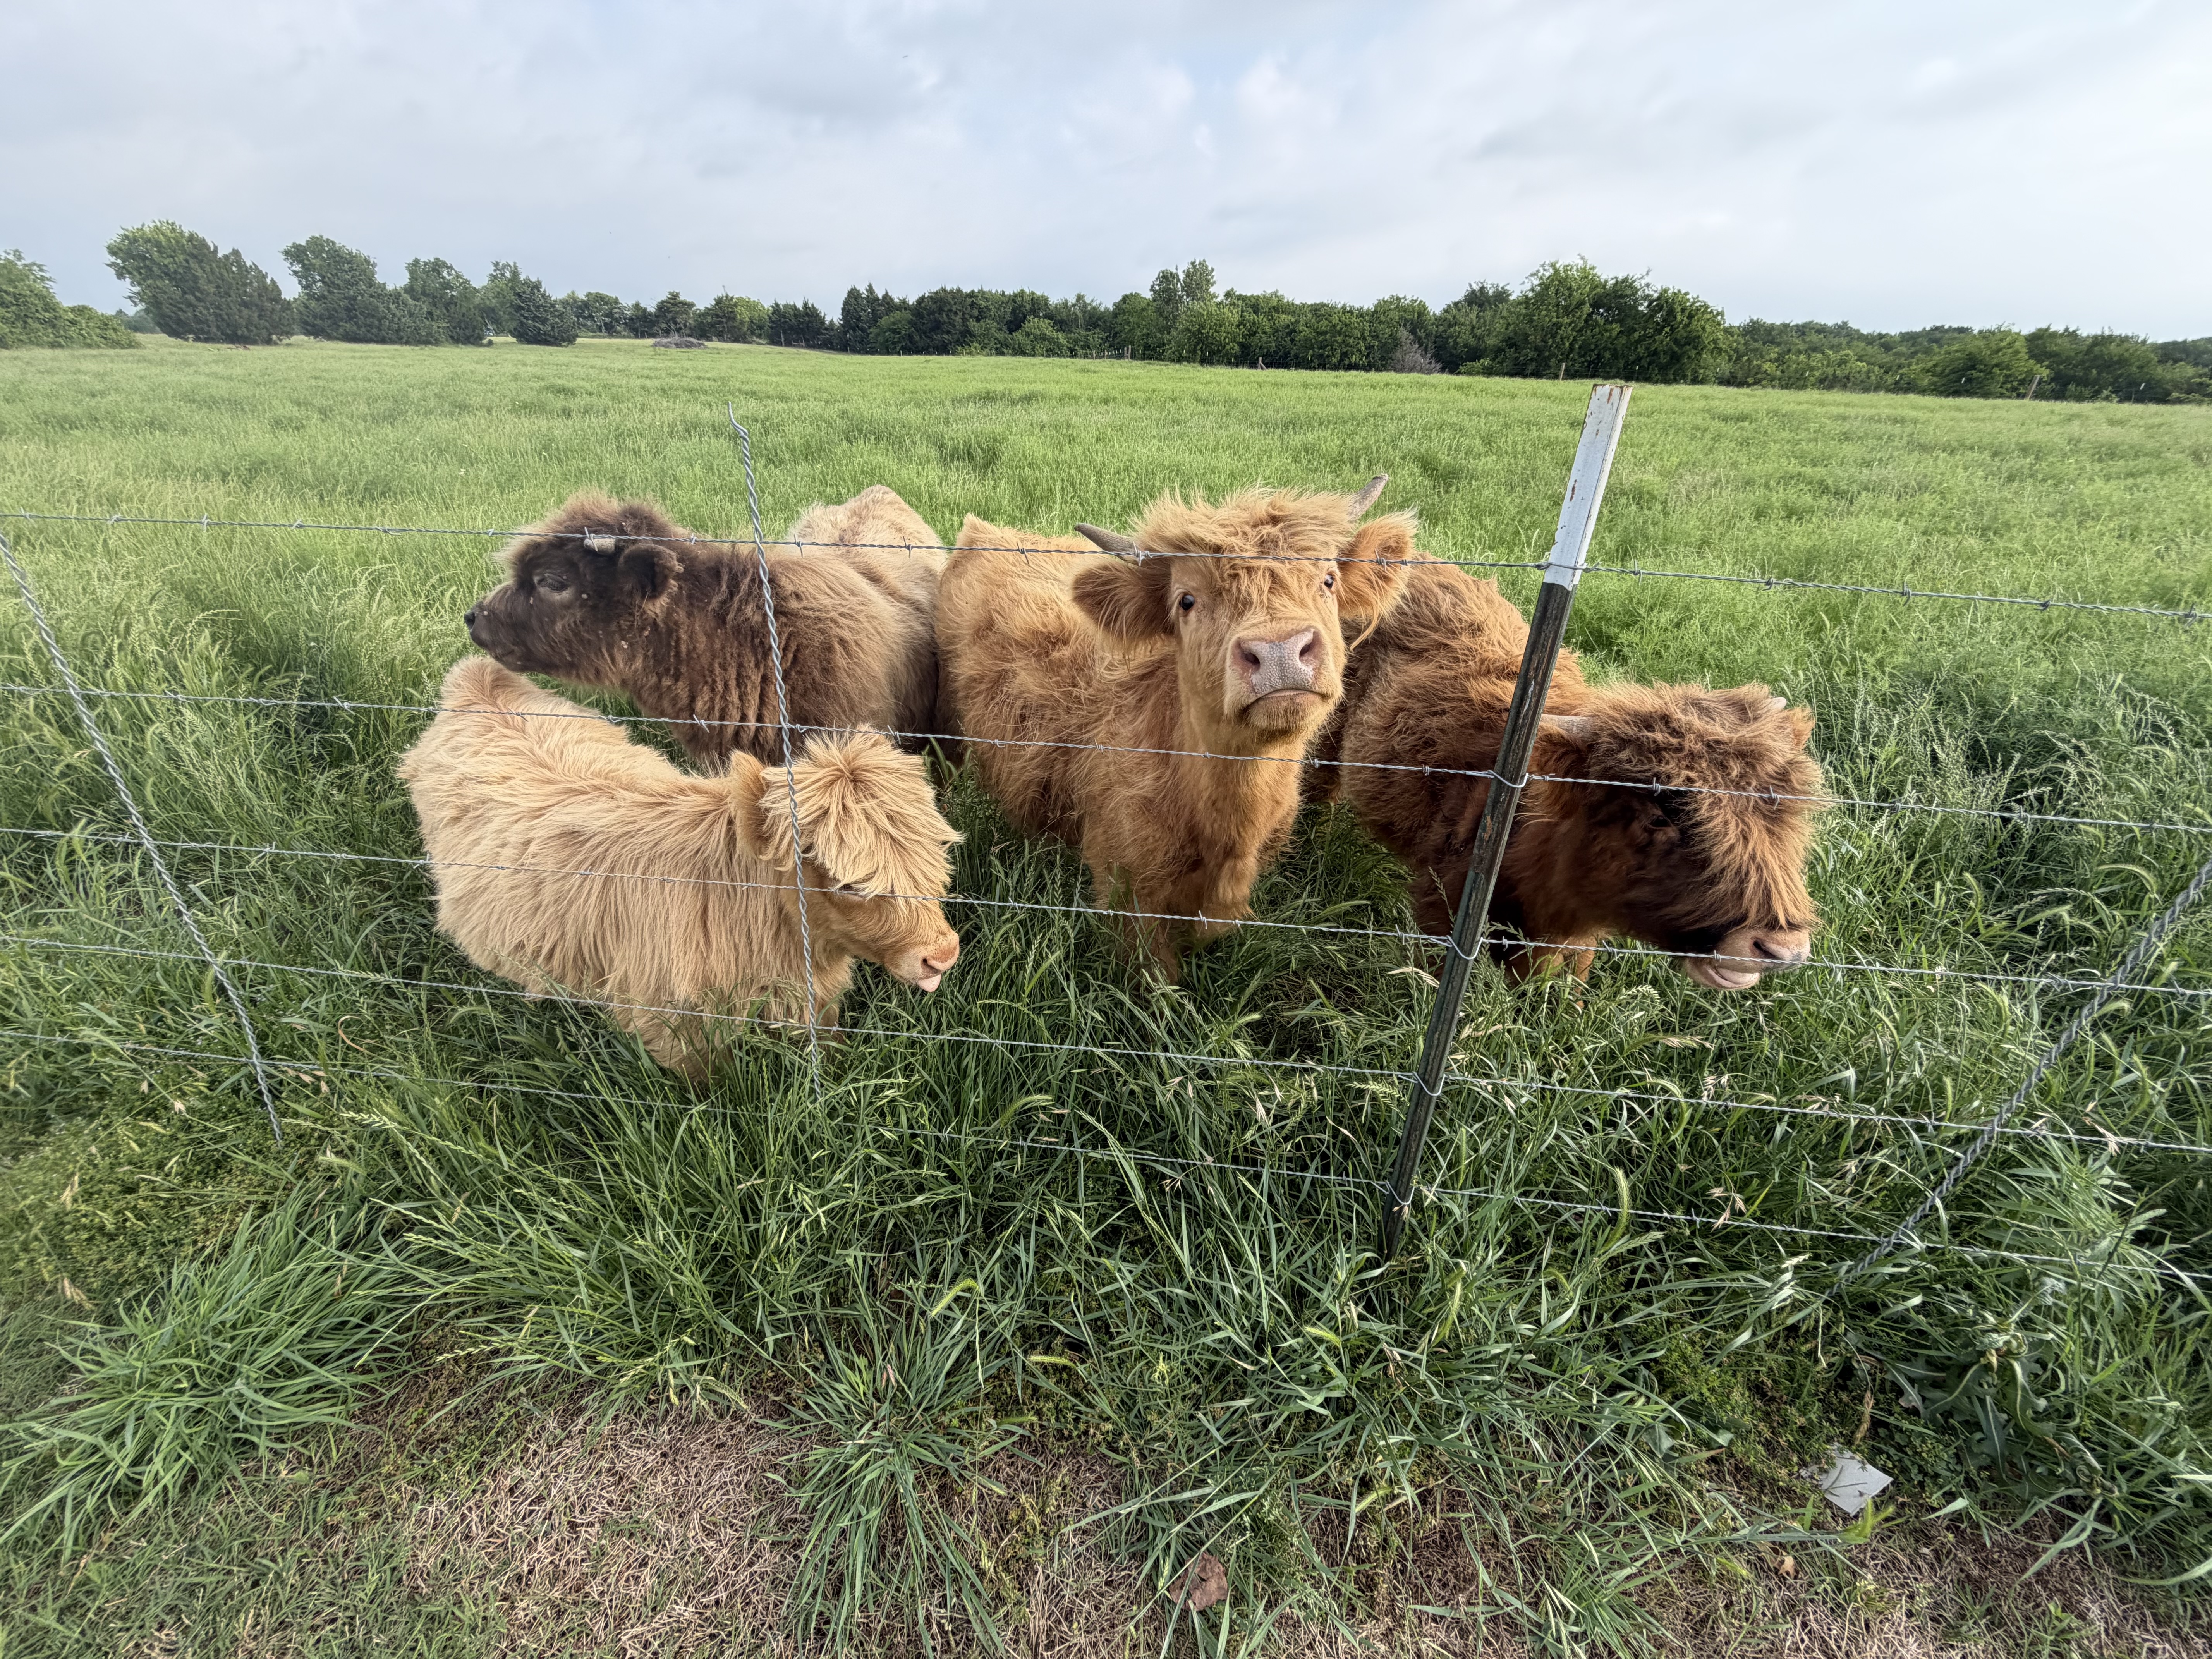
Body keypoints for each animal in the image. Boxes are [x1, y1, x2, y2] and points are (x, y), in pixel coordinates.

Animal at [396, 656, 962, 1077]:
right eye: (848, 883)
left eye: (935, 855)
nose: (942, 954)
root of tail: (478, 678)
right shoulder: (671, 1028)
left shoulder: (814, 999)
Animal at [935, 479, 1411, 977]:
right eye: (1187, 600)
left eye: (1328, 580)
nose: (1279, 649)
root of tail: (988, 532)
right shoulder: (1128, 891)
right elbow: (1158, 983)